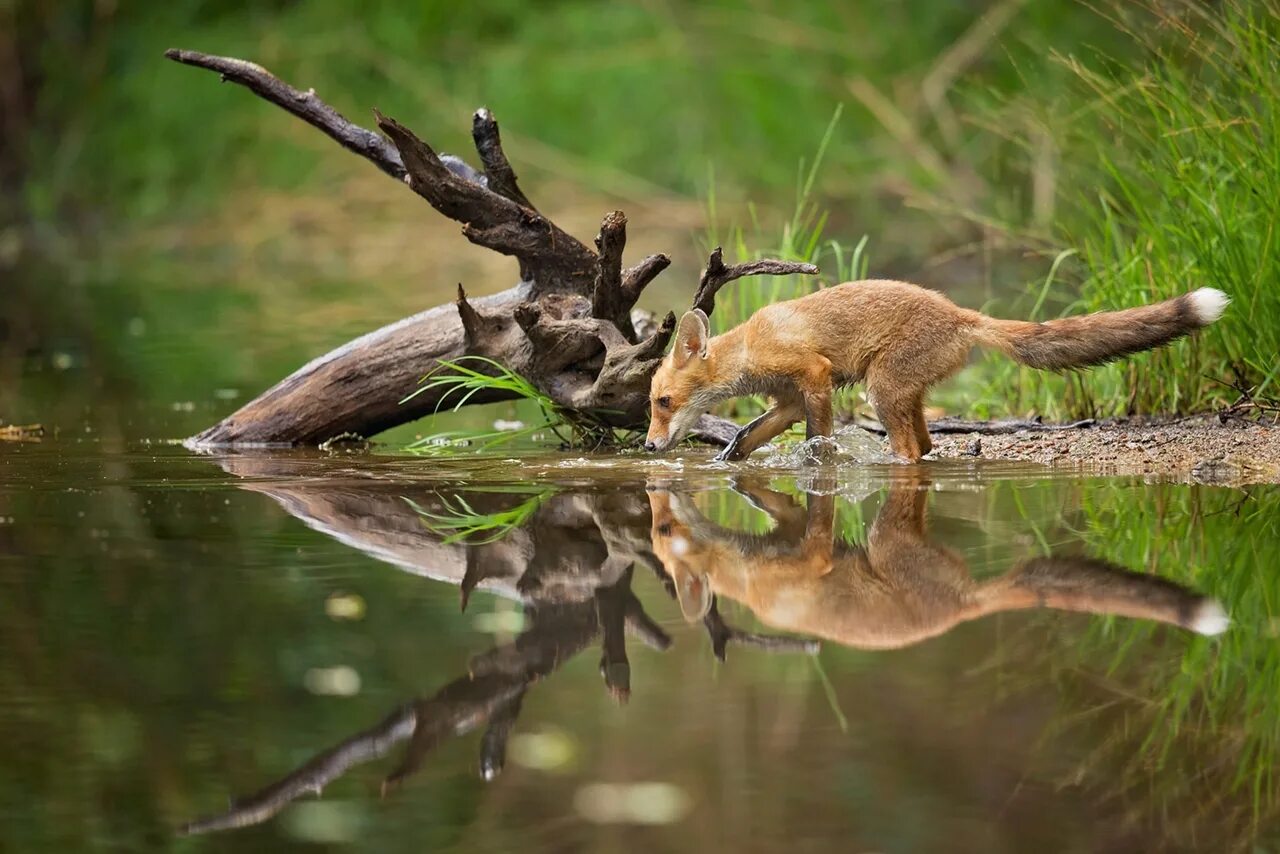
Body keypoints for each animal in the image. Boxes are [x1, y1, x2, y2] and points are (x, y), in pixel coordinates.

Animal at [645, 280, 1223, 460]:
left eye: (662, 402)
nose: (648, 447)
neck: (749, 348)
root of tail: (961, 314)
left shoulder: (813, 374)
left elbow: (818, 438)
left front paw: (821, 464)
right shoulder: (788, 398)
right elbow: (746, 435)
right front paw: (725, 460)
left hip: (882, 389)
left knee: (908, 450)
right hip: (906, 393)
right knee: (925, 446)